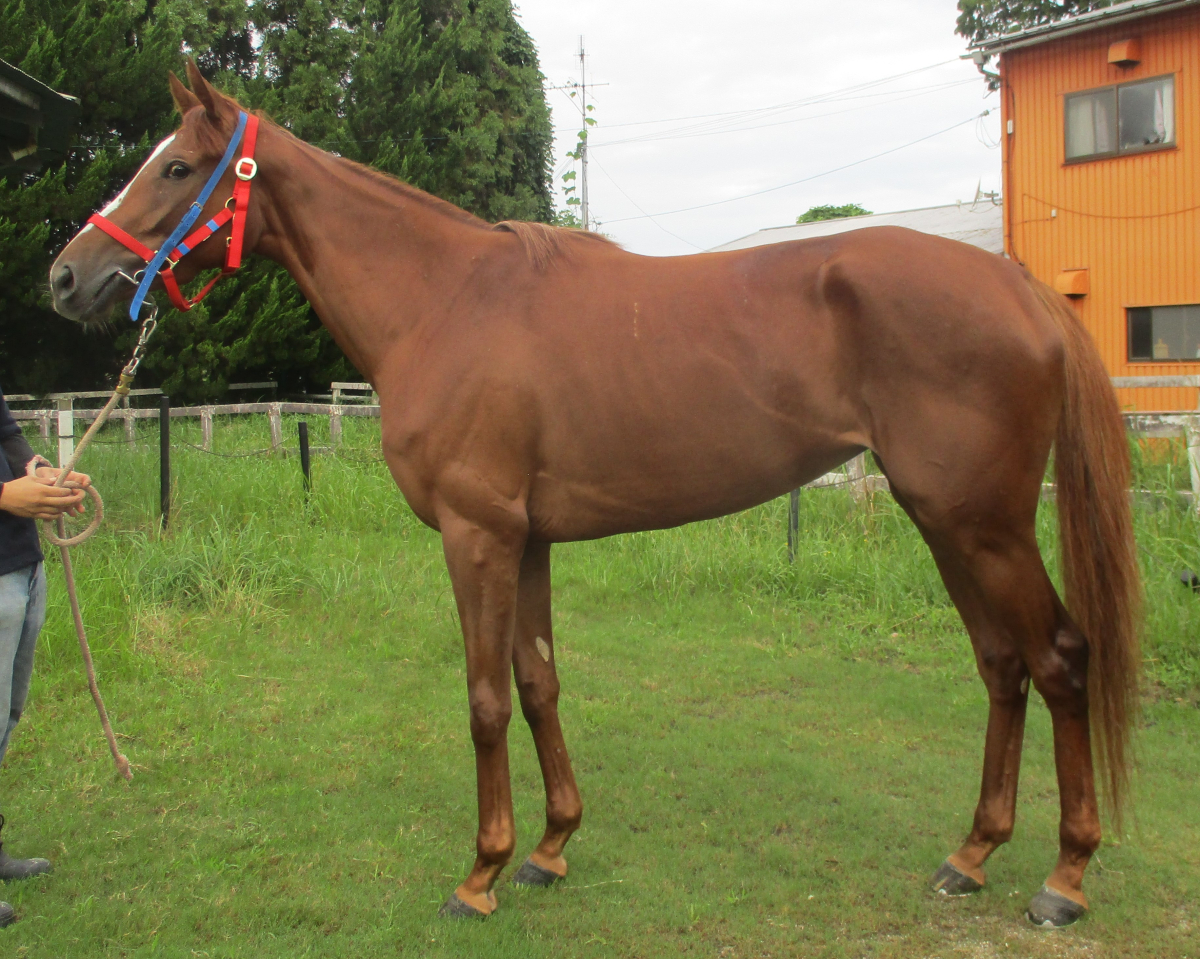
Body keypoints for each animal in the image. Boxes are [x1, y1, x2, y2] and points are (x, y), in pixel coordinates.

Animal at [48, 62, 1140, 927]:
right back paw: (971, 854)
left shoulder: (475, 535)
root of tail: (1019, 286)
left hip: (984, 524)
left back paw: (1064, 877)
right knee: (1002, 664)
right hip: (947, 521)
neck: (442, 301)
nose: (66, 277)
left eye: (176, 169)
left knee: (1059, 659)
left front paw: (480, 871)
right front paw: (549, 848)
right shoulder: (526, 538)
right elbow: (538, 682)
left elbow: (485, 698)